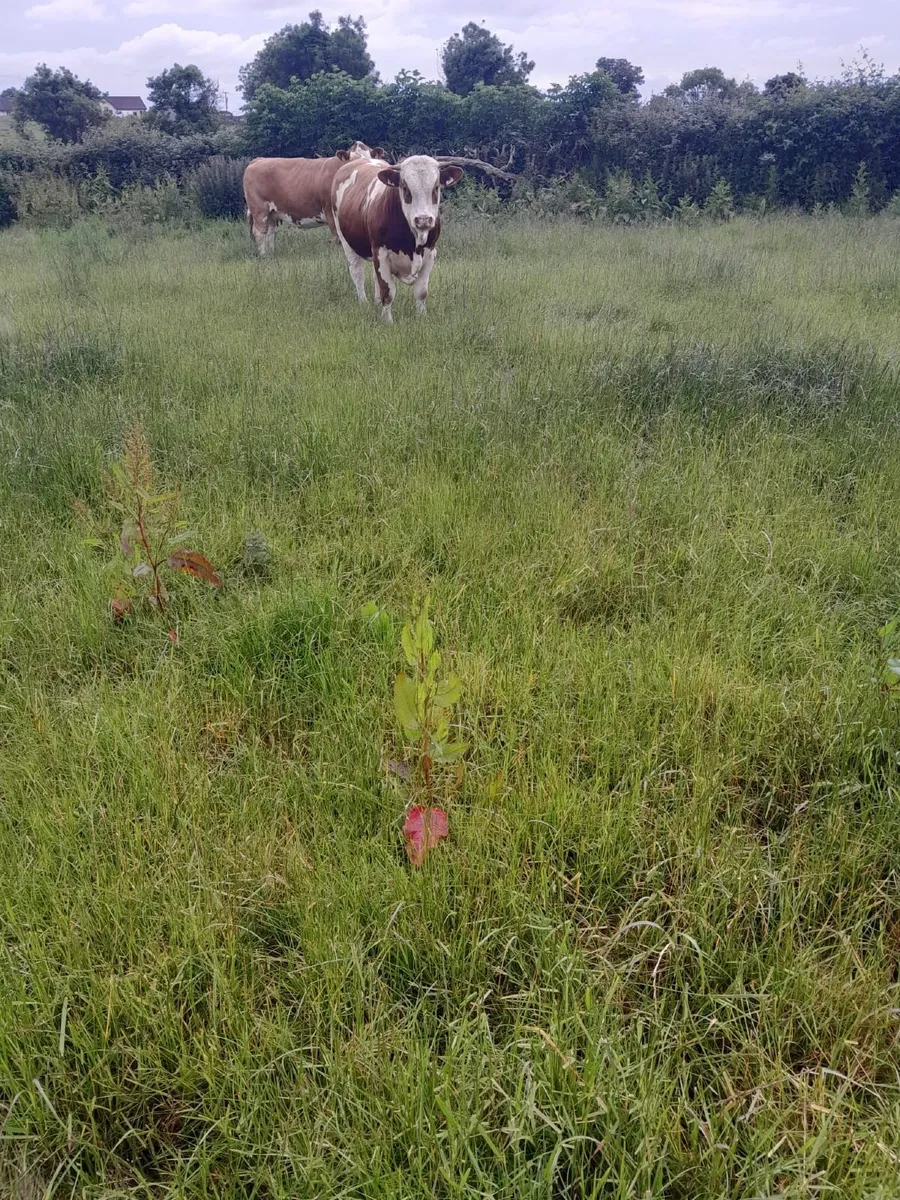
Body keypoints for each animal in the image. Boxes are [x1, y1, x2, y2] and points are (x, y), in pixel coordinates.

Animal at [243, 141, 385, 256]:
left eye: (370, 158)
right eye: (352, 160)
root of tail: (259, 160)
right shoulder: (330, 212)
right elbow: (337, 238)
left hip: (272, 213)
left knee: (270, 233)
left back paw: (271, 254)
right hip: (259, 209)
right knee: (260, 232)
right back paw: (263, 256)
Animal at [330, 154, 464, 323]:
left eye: (435, 188)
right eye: (406, 188)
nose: (423, 220)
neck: (413, 245)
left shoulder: (430, 253)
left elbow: (421, 292)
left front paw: (421, 317)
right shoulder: (380, 252)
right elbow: (388, 292)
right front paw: (387, 321)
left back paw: (376, 302)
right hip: (347, 241)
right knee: (357, 272)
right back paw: (363, 302)